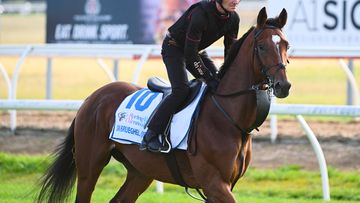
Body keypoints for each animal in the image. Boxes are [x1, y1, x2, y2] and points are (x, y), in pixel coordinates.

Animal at [36, 7, 292, 203]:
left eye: (286, 45)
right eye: (262, 46)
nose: (284, 85)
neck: (228, 117)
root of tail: (92, 98)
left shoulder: (224, 185)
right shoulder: (214, 183)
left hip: (140, 171)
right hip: (90, 166)